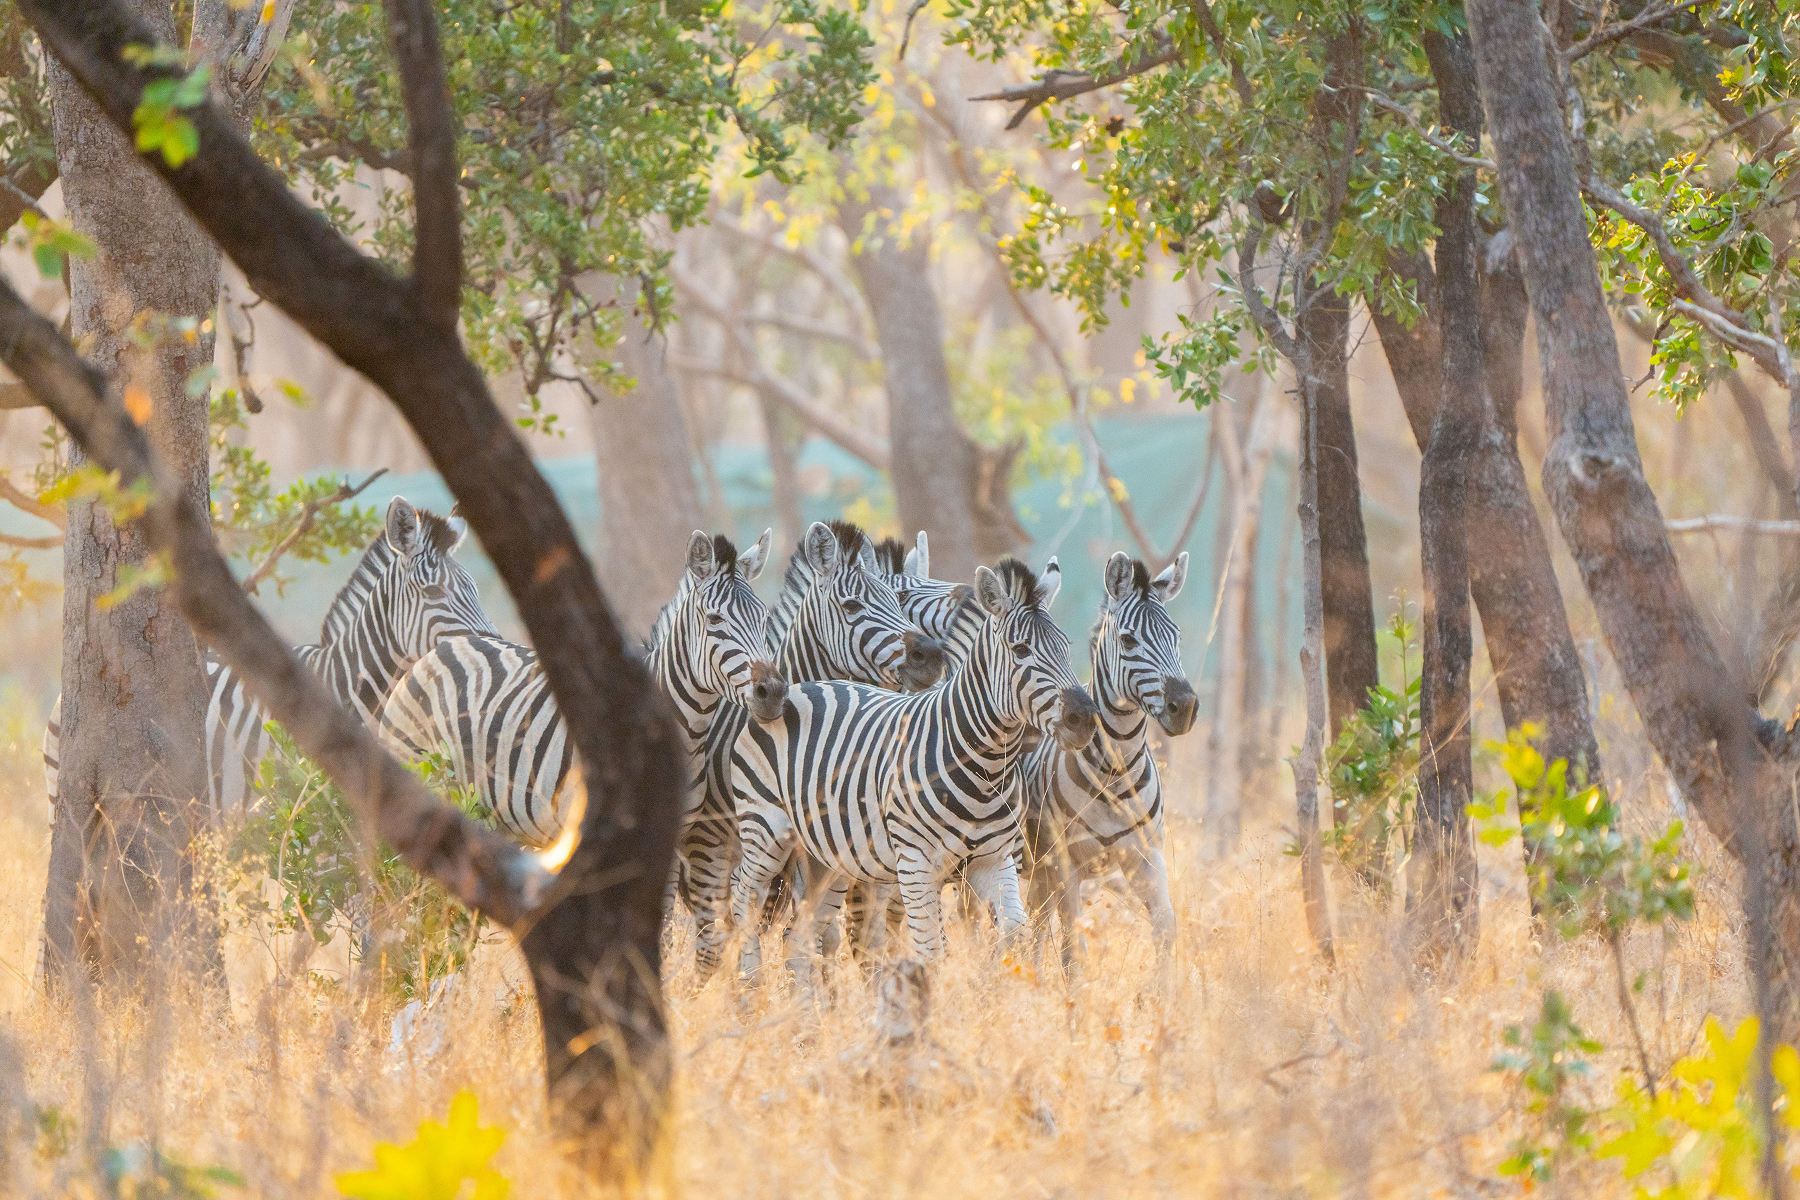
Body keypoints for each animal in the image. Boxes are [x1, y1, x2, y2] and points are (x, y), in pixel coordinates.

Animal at [726, 557, 1099, 975]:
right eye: (1020, 650)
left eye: (1066, 648)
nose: (1084, 718)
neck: (985, 769)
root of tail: (803, 686)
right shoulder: (918, 864)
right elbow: (931, 952)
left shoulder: (995, 858)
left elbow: (1014, 936)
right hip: (765, 827)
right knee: (743, 899)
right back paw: (749, 984)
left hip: (828, 858)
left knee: (798, 938)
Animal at [1020, 551, 1196, 979]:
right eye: (1129, 640)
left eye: (1177, 637)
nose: (1184, 708)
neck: (1116, 771)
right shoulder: (1066, 864)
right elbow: (1073, 951)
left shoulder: (1146, 858)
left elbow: (1166, 930)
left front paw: (1161, 993)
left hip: (1040, 873)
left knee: (1035, 927)